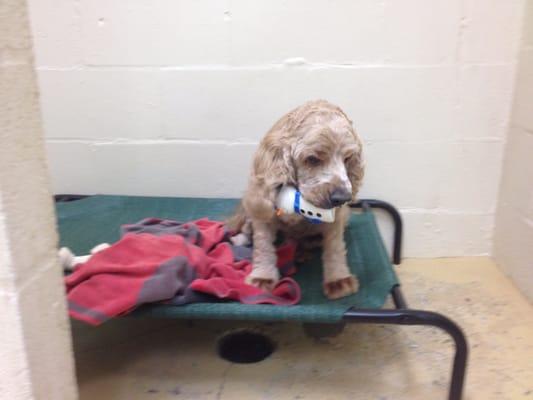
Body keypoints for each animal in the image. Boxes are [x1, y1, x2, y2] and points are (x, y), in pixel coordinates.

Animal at [231, 100, 364, 300]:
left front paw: (338, 279)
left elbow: (335, 246)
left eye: (348, 158)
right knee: (248, 230)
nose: (343, 198)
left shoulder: (337, 218)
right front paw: (263, 276)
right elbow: (263, 245)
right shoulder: (263, 208)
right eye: (312, 159)